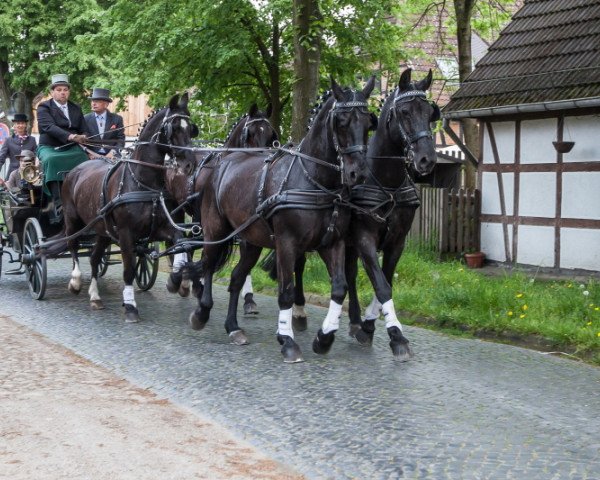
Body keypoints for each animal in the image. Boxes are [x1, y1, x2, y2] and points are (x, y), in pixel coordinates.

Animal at [59, 92, 195, 320]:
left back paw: (95, 297)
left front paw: (178, 281)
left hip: (102, 230)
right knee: (73, 245)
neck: (141, 182)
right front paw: (130, 306)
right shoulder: (126, 234)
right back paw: (75, 282)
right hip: (74, 220)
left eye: (192, 128)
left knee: (95, 258)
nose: (190, 164)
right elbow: (129, 269)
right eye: (173, 128)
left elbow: (181, 243)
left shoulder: (158, 229)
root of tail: (75, 170)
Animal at [163, 103, 278, 306]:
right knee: (181, 239)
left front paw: (248, 298)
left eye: (270, 133)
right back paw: (181, 279)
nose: (264, 158)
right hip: (176, 208)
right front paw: (196, 284)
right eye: (250, 133)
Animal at [188, 77, 376, 362]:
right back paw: (202, 311)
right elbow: (286, 291)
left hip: (251, 241)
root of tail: (222, 162)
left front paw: (324, 338)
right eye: (341, 121)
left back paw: (233, 328)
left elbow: (339, 288)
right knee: (208, 264)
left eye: (367, 122)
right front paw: (287, 339)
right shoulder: (287, 243)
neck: (314, 180)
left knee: (236, 277)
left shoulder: (333, 242)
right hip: (214, 230)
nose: (359, 173)